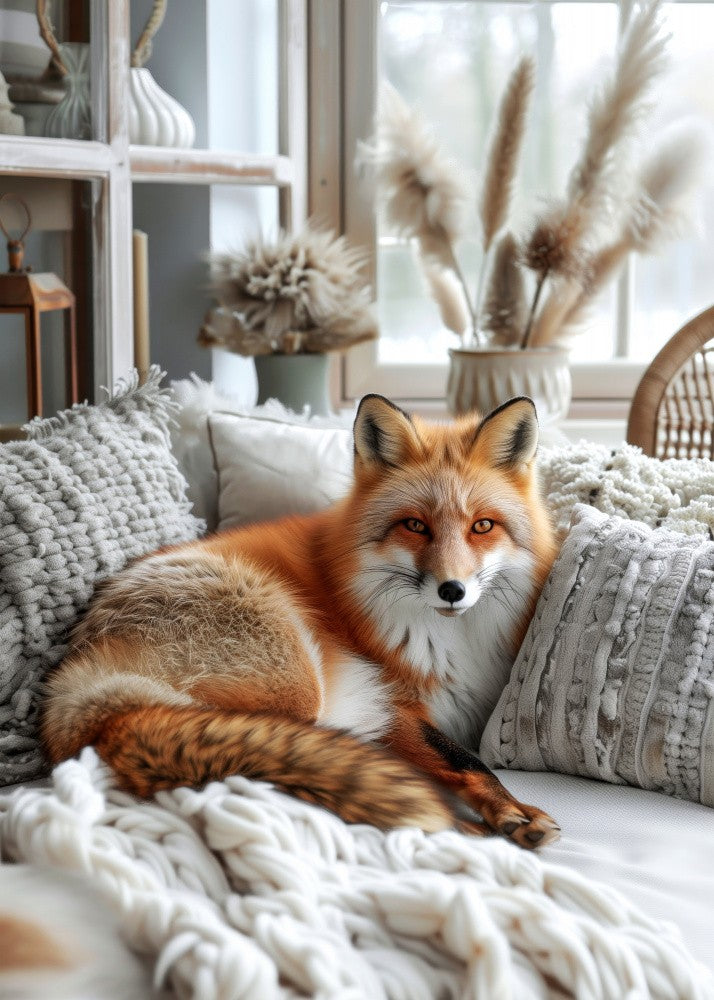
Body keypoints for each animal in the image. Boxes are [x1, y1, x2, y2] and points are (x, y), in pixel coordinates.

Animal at [42, 393, 560, 849]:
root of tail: (82, 684)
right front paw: (511, 811)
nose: (452, 590)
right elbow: (465, 759)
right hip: (299, 689)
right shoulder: (393, 704)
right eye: (415, 526)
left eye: (482, 526)